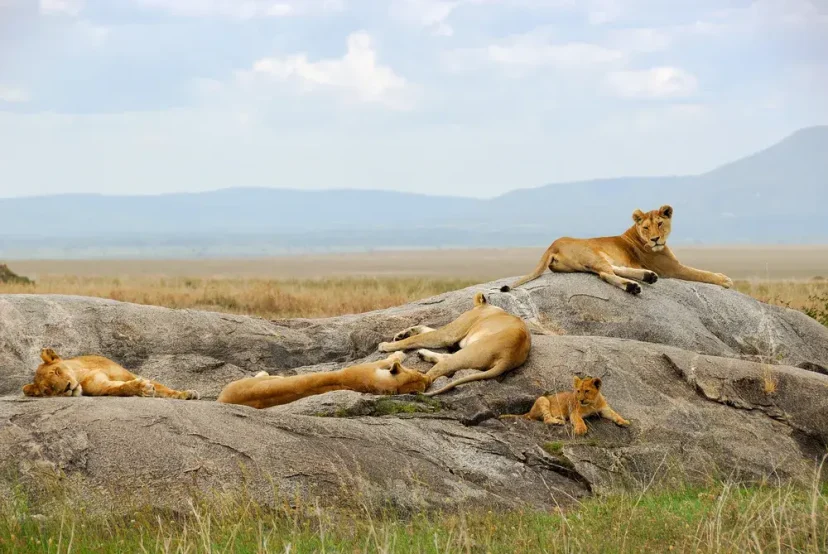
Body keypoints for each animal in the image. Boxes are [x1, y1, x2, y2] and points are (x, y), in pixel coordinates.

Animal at [22, 348, 201, 398]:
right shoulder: (102, 386)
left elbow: (164, 388)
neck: (82, 374)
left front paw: (186, 394)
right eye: (48, 390)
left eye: (57, 371)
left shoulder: (128, 375)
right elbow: (120, 388)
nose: (67, 388)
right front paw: (142, 388)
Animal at [215, 352, 426, 408]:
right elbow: (389, 359)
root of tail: (222, 399)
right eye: (417, 370)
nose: (424, 372)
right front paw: (399, 354)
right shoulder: (367, 368)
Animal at [376, 292, 532, 394]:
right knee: (446, 358)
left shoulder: (448, 335)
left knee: (430, 377)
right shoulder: (453, 339)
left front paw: (386, 345)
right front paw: (403, 333)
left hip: (468, 353)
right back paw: (423, 354)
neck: (487, 307)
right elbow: (424, 329)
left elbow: (417, 338)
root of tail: (508, 357)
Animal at [498, 374, 628, 434]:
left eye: (586, 391)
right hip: (543, 399)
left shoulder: (605, 409)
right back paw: (558, 421)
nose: (580, 400)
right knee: (545, 419)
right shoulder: (574, 412)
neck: (592, 403)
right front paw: (581, 429)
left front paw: (624, 422)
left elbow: (615, 414)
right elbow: (579, 420)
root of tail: (529, 411)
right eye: (578, 391)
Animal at [502, 204, 736, 294]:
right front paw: (724, 279)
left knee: (613, 270)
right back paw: (633, 286)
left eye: (660, 223)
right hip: (593, 254)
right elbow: (700, 273)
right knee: (606, 274)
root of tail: (553, 244)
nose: (655, 239)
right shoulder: (672, 268)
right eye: (646, 227)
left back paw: (647, 276)